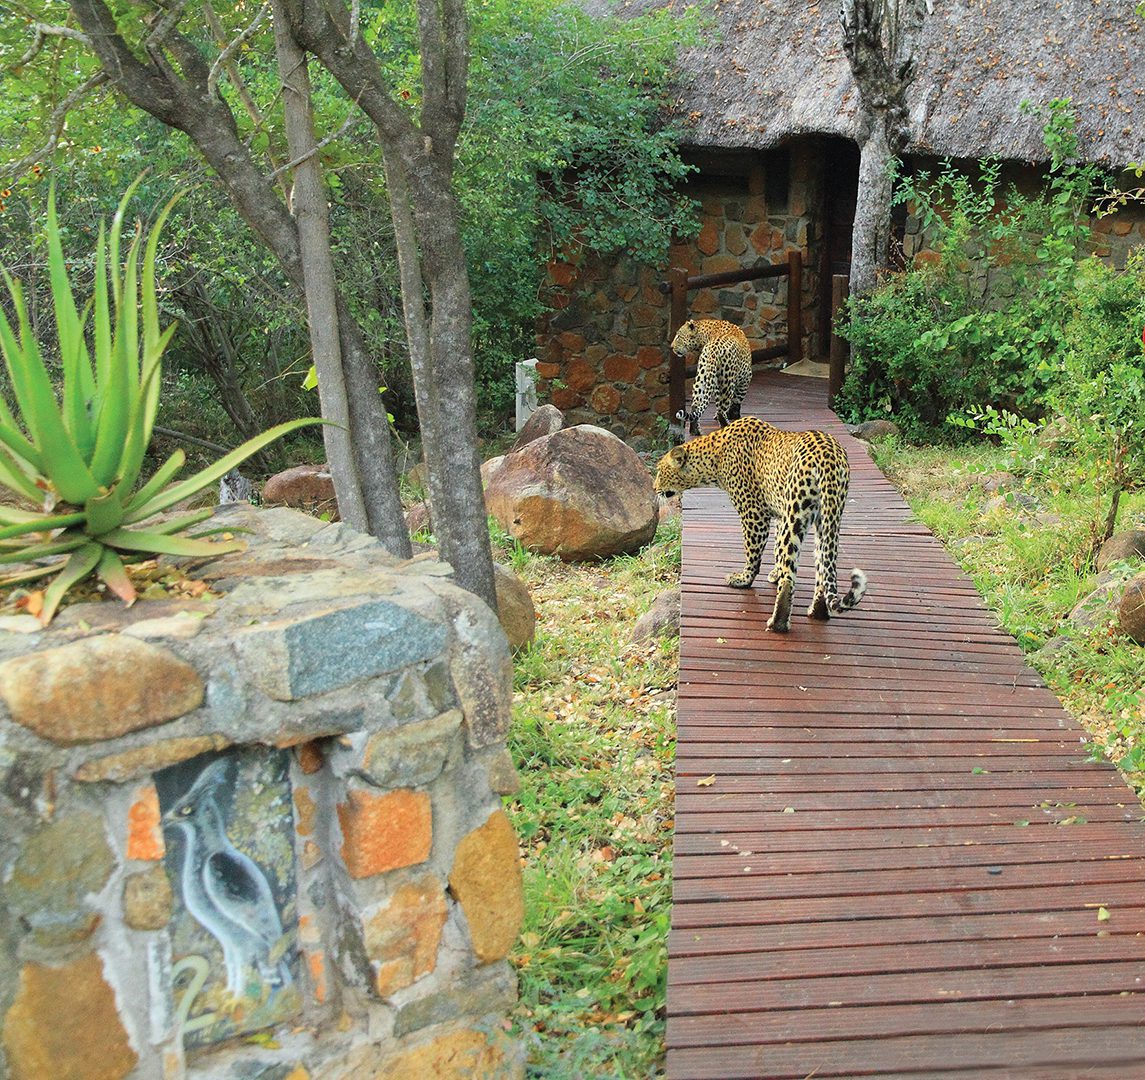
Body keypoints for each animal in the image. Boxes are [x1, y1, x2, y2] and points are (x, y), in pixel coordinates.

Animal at [653, 416, 867, 633]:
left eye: (660, 472)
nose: (654, 489)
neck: (713, 460)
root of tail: (828, 457)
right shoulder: (781, 514)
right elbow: (777, 548)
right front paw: (775, 573)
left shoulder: (754, 515)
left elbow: (753, 552)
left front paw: (744, 579)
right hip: (826, 519)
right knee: (822, 564)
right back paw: (817, 611)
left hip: (797, 515)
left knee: (790, 575)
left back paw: (777, 622)